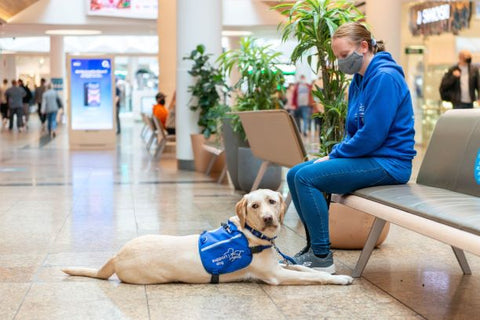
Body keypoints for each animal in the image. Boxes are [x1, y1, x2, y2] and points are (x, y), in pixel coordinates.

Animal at [62, 188, 352, 284]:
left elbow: (309, 271)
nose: (268, 219)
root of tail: (116, 255)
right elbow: (314, 279)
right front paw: (339, 281)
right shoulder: (276, 276)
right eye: (254, 206)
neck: (250, 235)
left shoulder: (280, 264)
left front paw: (338, 274)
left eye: (272, 201)